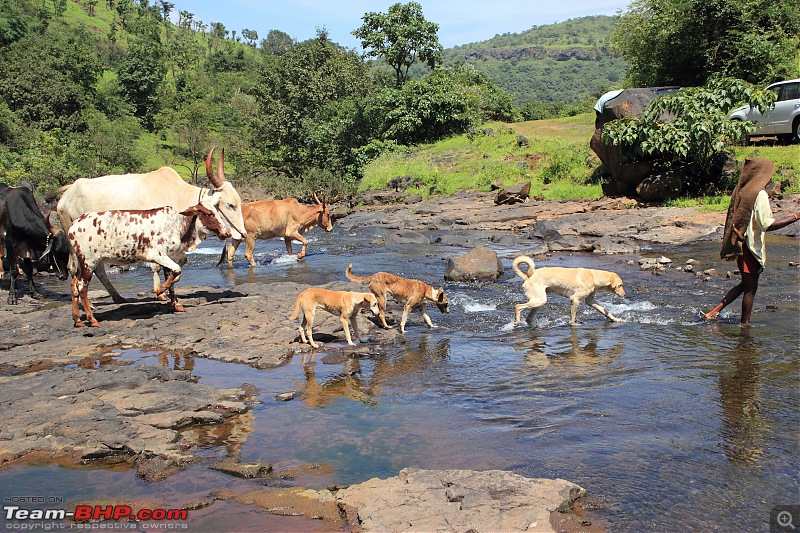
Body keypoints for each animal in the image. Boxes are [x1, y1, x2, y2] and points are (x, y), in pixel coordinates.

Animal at [56, 148, 245, 302]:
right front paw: (159, 292)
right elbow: (156, 266)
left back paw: (118, 297)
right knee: (75, 268)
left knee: (97, 270)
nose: (242, 233)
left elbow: (180, 263)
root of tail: (68, 193)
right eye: (230, 205)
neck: (178, 197)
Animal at [67, 204, 230, 328]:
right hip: (89, 262)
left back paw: (77, 320)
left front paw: (176, 304)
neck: (178, 225)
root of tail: (74, 224)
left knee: (74, 284)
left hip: (86, 263)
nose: (227, 232)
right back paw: (91, 319)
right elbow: (176, 271)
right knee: (82, 287)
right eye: (209, 214)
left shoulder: (170, 257)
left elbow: (173, 277)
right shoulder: (157, 255)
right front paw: (159, 290)